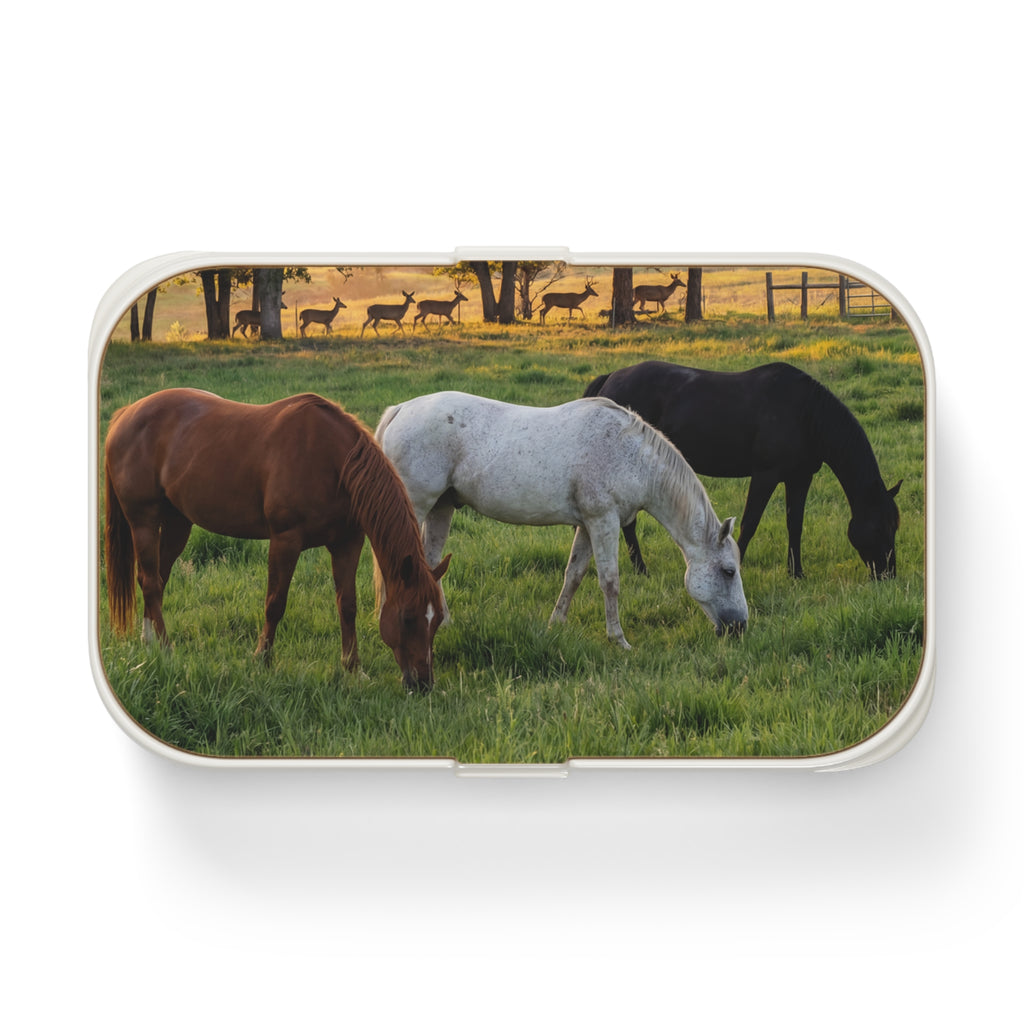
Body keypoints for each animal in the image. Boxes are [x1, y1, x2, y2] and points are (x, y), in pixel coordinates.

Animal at [104, 389, 450, 692]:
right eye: (408, 618)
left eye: (437, 620)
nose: (422, 683)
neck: (331, 460)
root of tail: (126, 414)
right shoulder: (285, 541)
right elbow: (275, 603)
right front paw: (262, 659)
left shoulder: (347, 543)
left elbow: (347, 604)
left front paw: (353, 668)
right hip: (144, 520)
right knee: (150, 581)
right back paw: (166, 648)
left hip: (178, 522)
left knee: (157, 579)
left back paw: (150, 642)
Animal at [374, 392, 747, 648]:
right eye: (729, 571)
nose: (740, 626)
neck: (630, 455)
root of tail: (401, 409)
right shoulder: (604, 522)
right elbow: (609, 581)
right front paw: (618, 639)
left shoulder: (587, 525)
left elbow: (574, 575)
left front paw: (557, 624)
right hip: (417, 504)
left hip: (442, 507)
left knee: (430, 562)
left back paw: (444, 621)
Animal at [584, 361, 902, 579]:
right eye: (879, 527)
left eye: (894, 526)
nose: (888, 574)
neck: (805, 413)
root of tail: (610, 380)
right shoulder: (765, 475)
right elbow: (750, 523)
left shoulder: (799, 478)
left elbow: (795, 524)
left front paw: (796, 573)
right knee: (628, 524)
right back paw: (641, 569)